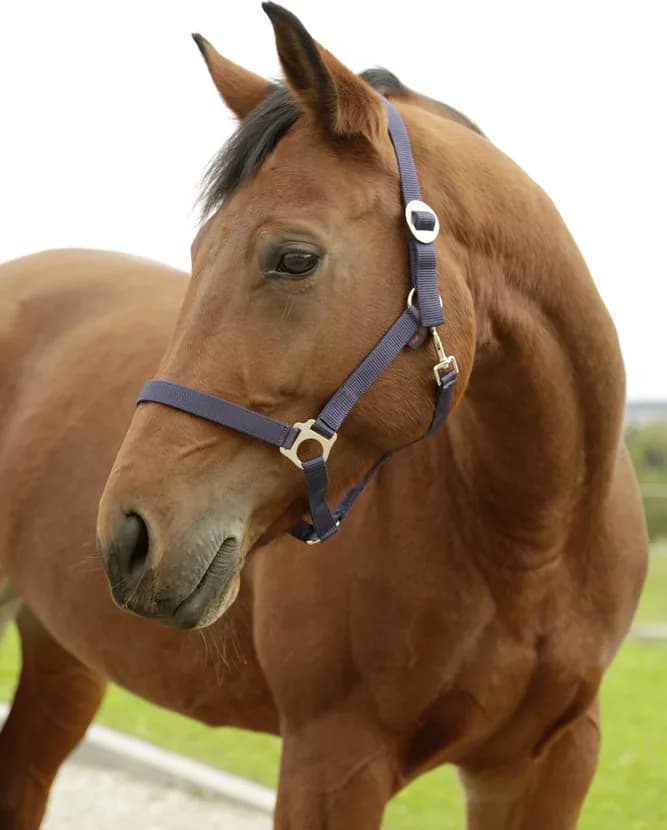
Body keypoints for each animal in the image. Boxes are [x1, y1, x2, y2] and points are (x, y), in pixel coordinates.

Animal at [0, 4, 648, 829]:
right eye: (197, 251)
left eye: (294, 258)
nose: (129, 536)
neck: (531, 547)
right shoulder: (332, 761)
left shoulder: (547, 767)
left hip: (63, 654)